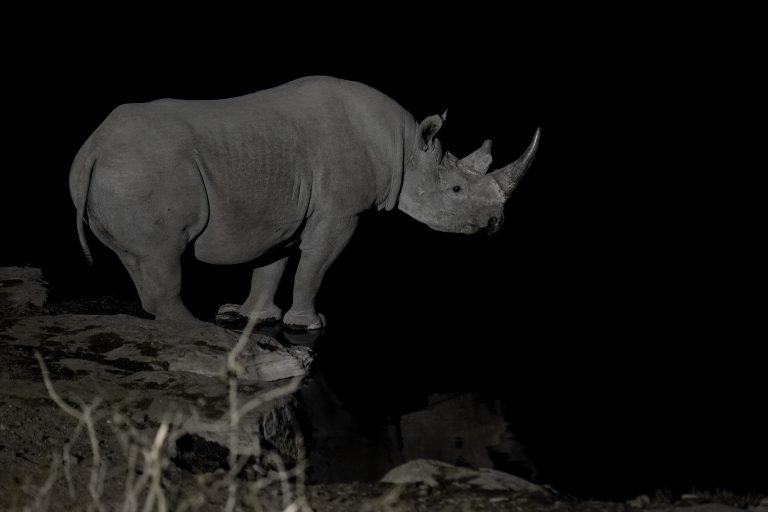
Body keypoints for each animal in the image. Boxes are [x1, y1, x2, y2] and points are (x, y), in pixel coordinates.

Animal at [69, 76, 539, 330]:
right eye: (457, 191)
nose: (496, 222)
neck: (405, 148)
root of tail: (93, 147)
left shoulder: (280, 213)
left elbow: (270, 265)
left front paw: (254, 317)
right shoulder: (341, 213)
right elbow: (315, 264)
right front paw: (308, 322)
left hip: (117, 172)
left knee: (141, 256)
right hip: (144, 168)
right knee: (163, 250)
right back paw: (194, 327)